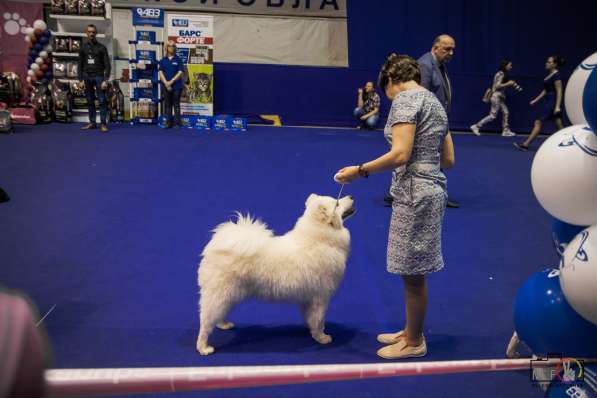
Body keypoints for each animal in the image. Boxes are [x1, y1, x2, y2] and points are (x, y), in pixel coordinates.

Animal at [196, 193, 354, 354]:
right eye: (337, 203)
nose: (351, 196)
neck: (319, 239)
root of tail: (215, 247)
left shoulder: (308, 298)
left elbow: (311, 318)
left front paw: (312, 331)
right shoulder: (321, 296)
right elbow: (319, 319)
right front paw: (321, 337)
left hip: (228, 294)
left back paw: (223, 324)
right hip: (220, 293)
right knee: (205, 322)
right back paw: (203, 347)